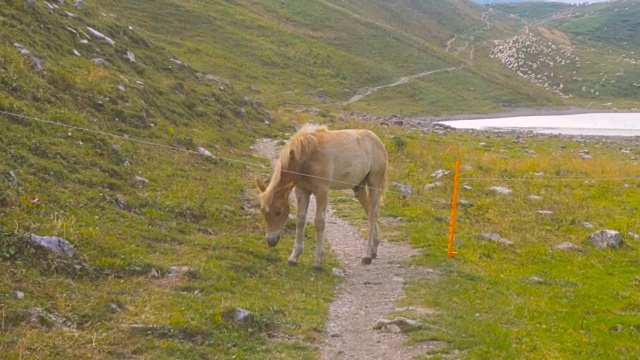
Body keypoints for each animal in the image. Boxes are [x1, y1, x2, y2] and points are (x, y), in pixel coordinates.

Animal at [258, 125, 388, 268]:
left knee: (373, 214)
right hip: (359, 188)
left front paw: (318, 261)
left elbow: (319, 223)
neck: (308, 155)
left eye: (278, 212)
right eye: (263, 211)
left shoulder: (321, 191)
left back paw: (367, 255)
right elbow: (300, 220)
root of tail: (377, 140)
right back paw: (374, 248)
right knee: (370, 211)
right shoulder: (302, 191)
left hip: (374, 184)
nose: (271, 241)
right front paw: (294, 257)